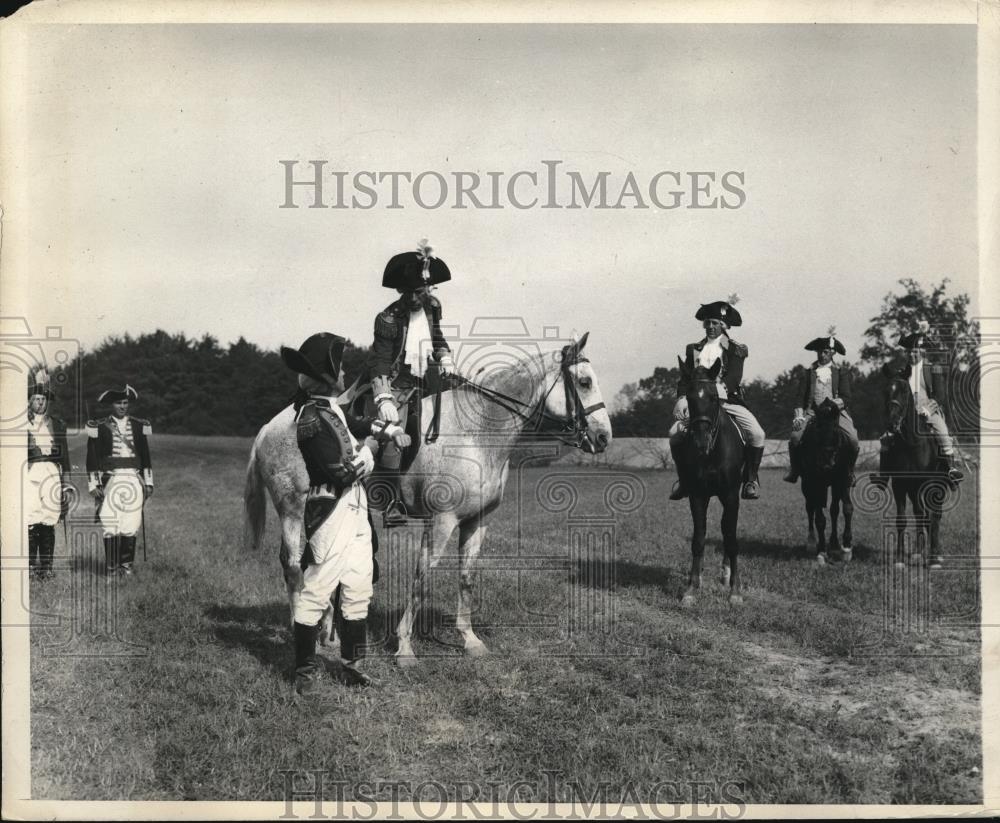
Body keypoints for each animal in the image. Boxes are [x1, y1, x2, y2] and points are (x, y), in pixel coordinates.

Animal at [246, 332, 612, 668]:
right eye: (584, 382)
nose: (603, 437)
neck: (476, 432)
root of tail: (267, 428)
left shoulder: (477, 522)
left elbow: (466, 578)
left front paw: (470, 640)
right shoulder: (441, 522)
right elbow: (422, 578)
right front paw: (405, 647)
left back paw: (326, 632)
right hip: (293, 510)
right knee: (294, 565)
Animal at [668, 360, 748, 604]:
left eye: (713, 397)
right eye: (690, 397)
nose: (700, 440)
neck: (711, 452)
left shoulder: (730, 495)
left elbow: (731, 539)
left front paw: (735, 591)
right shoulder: (697, 495)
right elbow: (698, 539)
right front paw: (691, 589)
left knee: (727, 530)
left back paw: (727, 576)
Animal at [796, 400, 852, 568]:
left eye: (835, 427)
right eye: (818, 427)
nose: (827, 462)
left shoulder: (843, 480)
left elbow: (847, 509)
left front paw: (847, 548)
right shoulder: (815, 483)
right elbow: (820, 519)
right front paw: (821, 552)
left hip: (834, 486)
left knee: (834, 510)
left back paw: (834, 543)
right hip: (807, 486)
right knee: (810, 509)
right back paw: (812, 542)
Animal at [884, 370, 952, 568]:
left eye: (905, 391)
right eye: (886, 391)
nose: (892, 424)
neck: (910, 444)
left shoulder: (924, 484)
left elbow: (928, 517)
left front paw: (931, 559)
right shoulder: (900, 485)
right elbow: (903, 519)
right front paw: (900, 559)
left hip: (938, 488)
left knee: (935, 516)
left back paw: (935, 555)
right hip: (913, 490)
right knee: (921, 514)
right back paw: (917, 553)